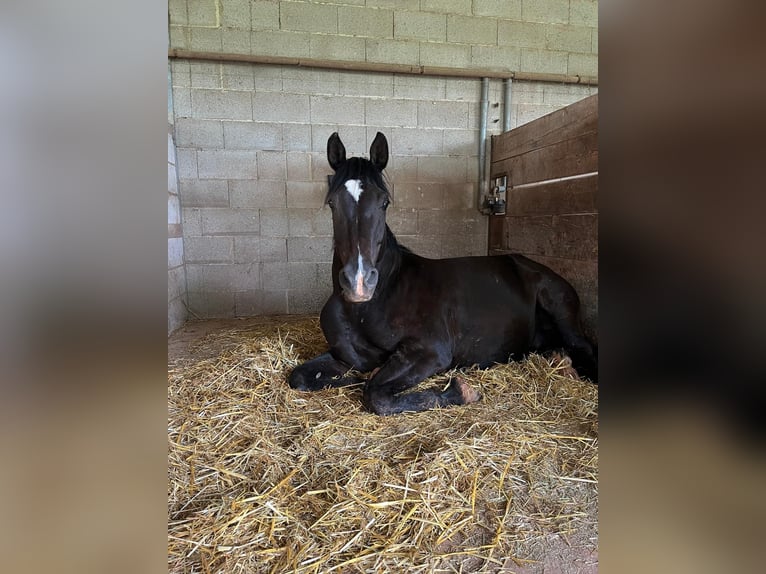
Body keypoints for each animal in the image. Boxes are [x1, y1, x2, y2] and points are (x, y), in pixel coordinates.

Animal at [292, 133, 596, 416]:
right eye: (332, 203)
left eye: (384, 202)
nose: (359, 283)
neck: (372, 305)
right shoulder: (344, 356)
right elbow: (299, 377)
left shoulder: (430, 352)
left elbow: (376, 394)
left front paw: (462, 392)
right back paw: (561, 363)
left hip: (561, 313)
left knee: (584, 347)